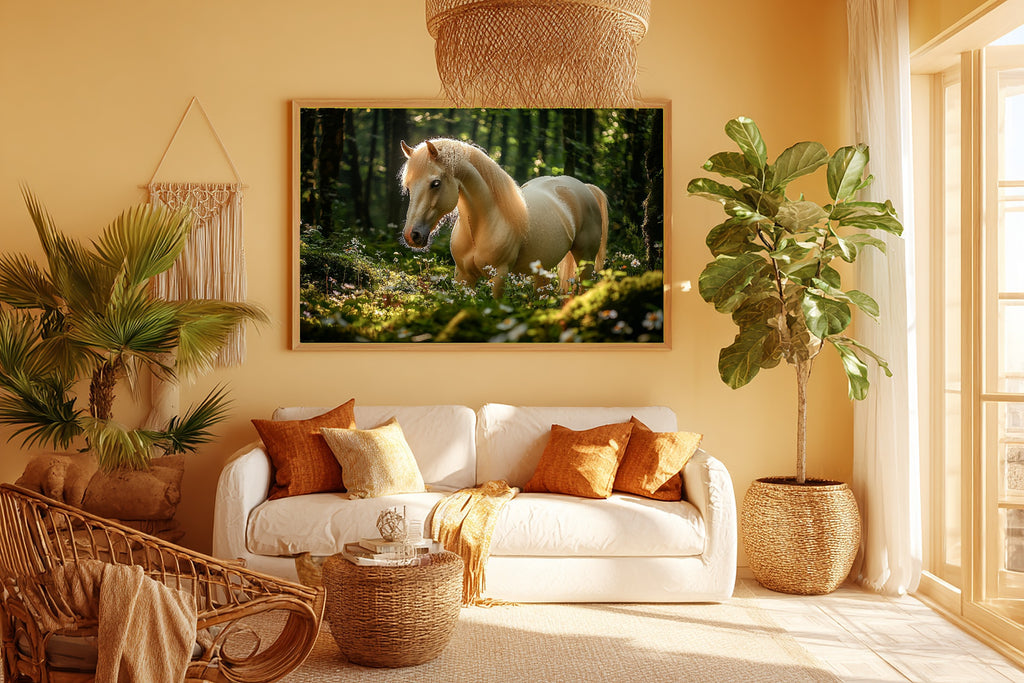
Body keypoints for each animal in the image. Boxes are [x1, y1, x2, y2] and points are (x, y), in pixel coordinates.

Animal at [400, 138, 609, 298]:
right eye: (408, 186)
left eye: (435, 183)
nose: (412, 235)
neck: (479, 227)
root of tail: (584, 187)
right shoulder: (463, 276)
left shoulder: (499, 275)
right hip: (543, 270)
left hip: (585, 262)